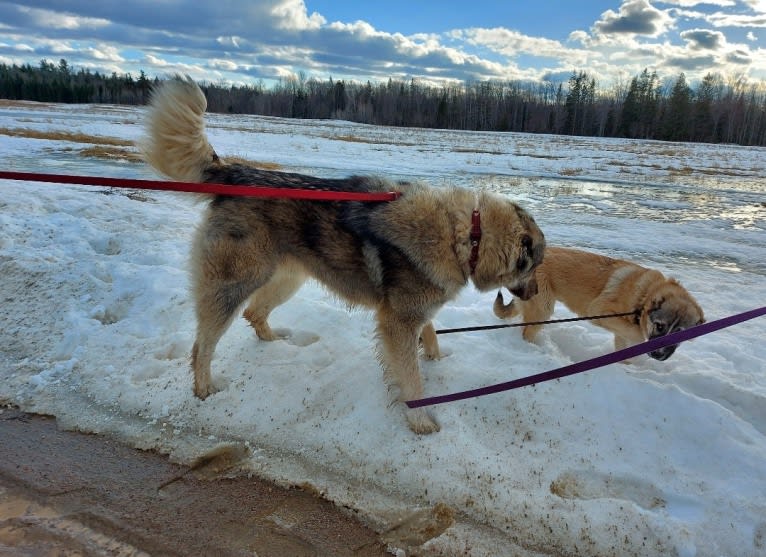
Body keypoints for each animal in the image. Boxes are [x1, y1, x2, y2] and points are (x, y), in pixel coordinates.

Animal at [496, 244, 704, 358]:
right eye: (660, 326)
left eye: (680, 333)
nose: (657, 355)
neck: (645, 295)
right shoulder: (599, 311)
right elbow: (635, 333)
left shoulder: (620, 330)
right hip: (543, 308)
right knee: (527, 331)